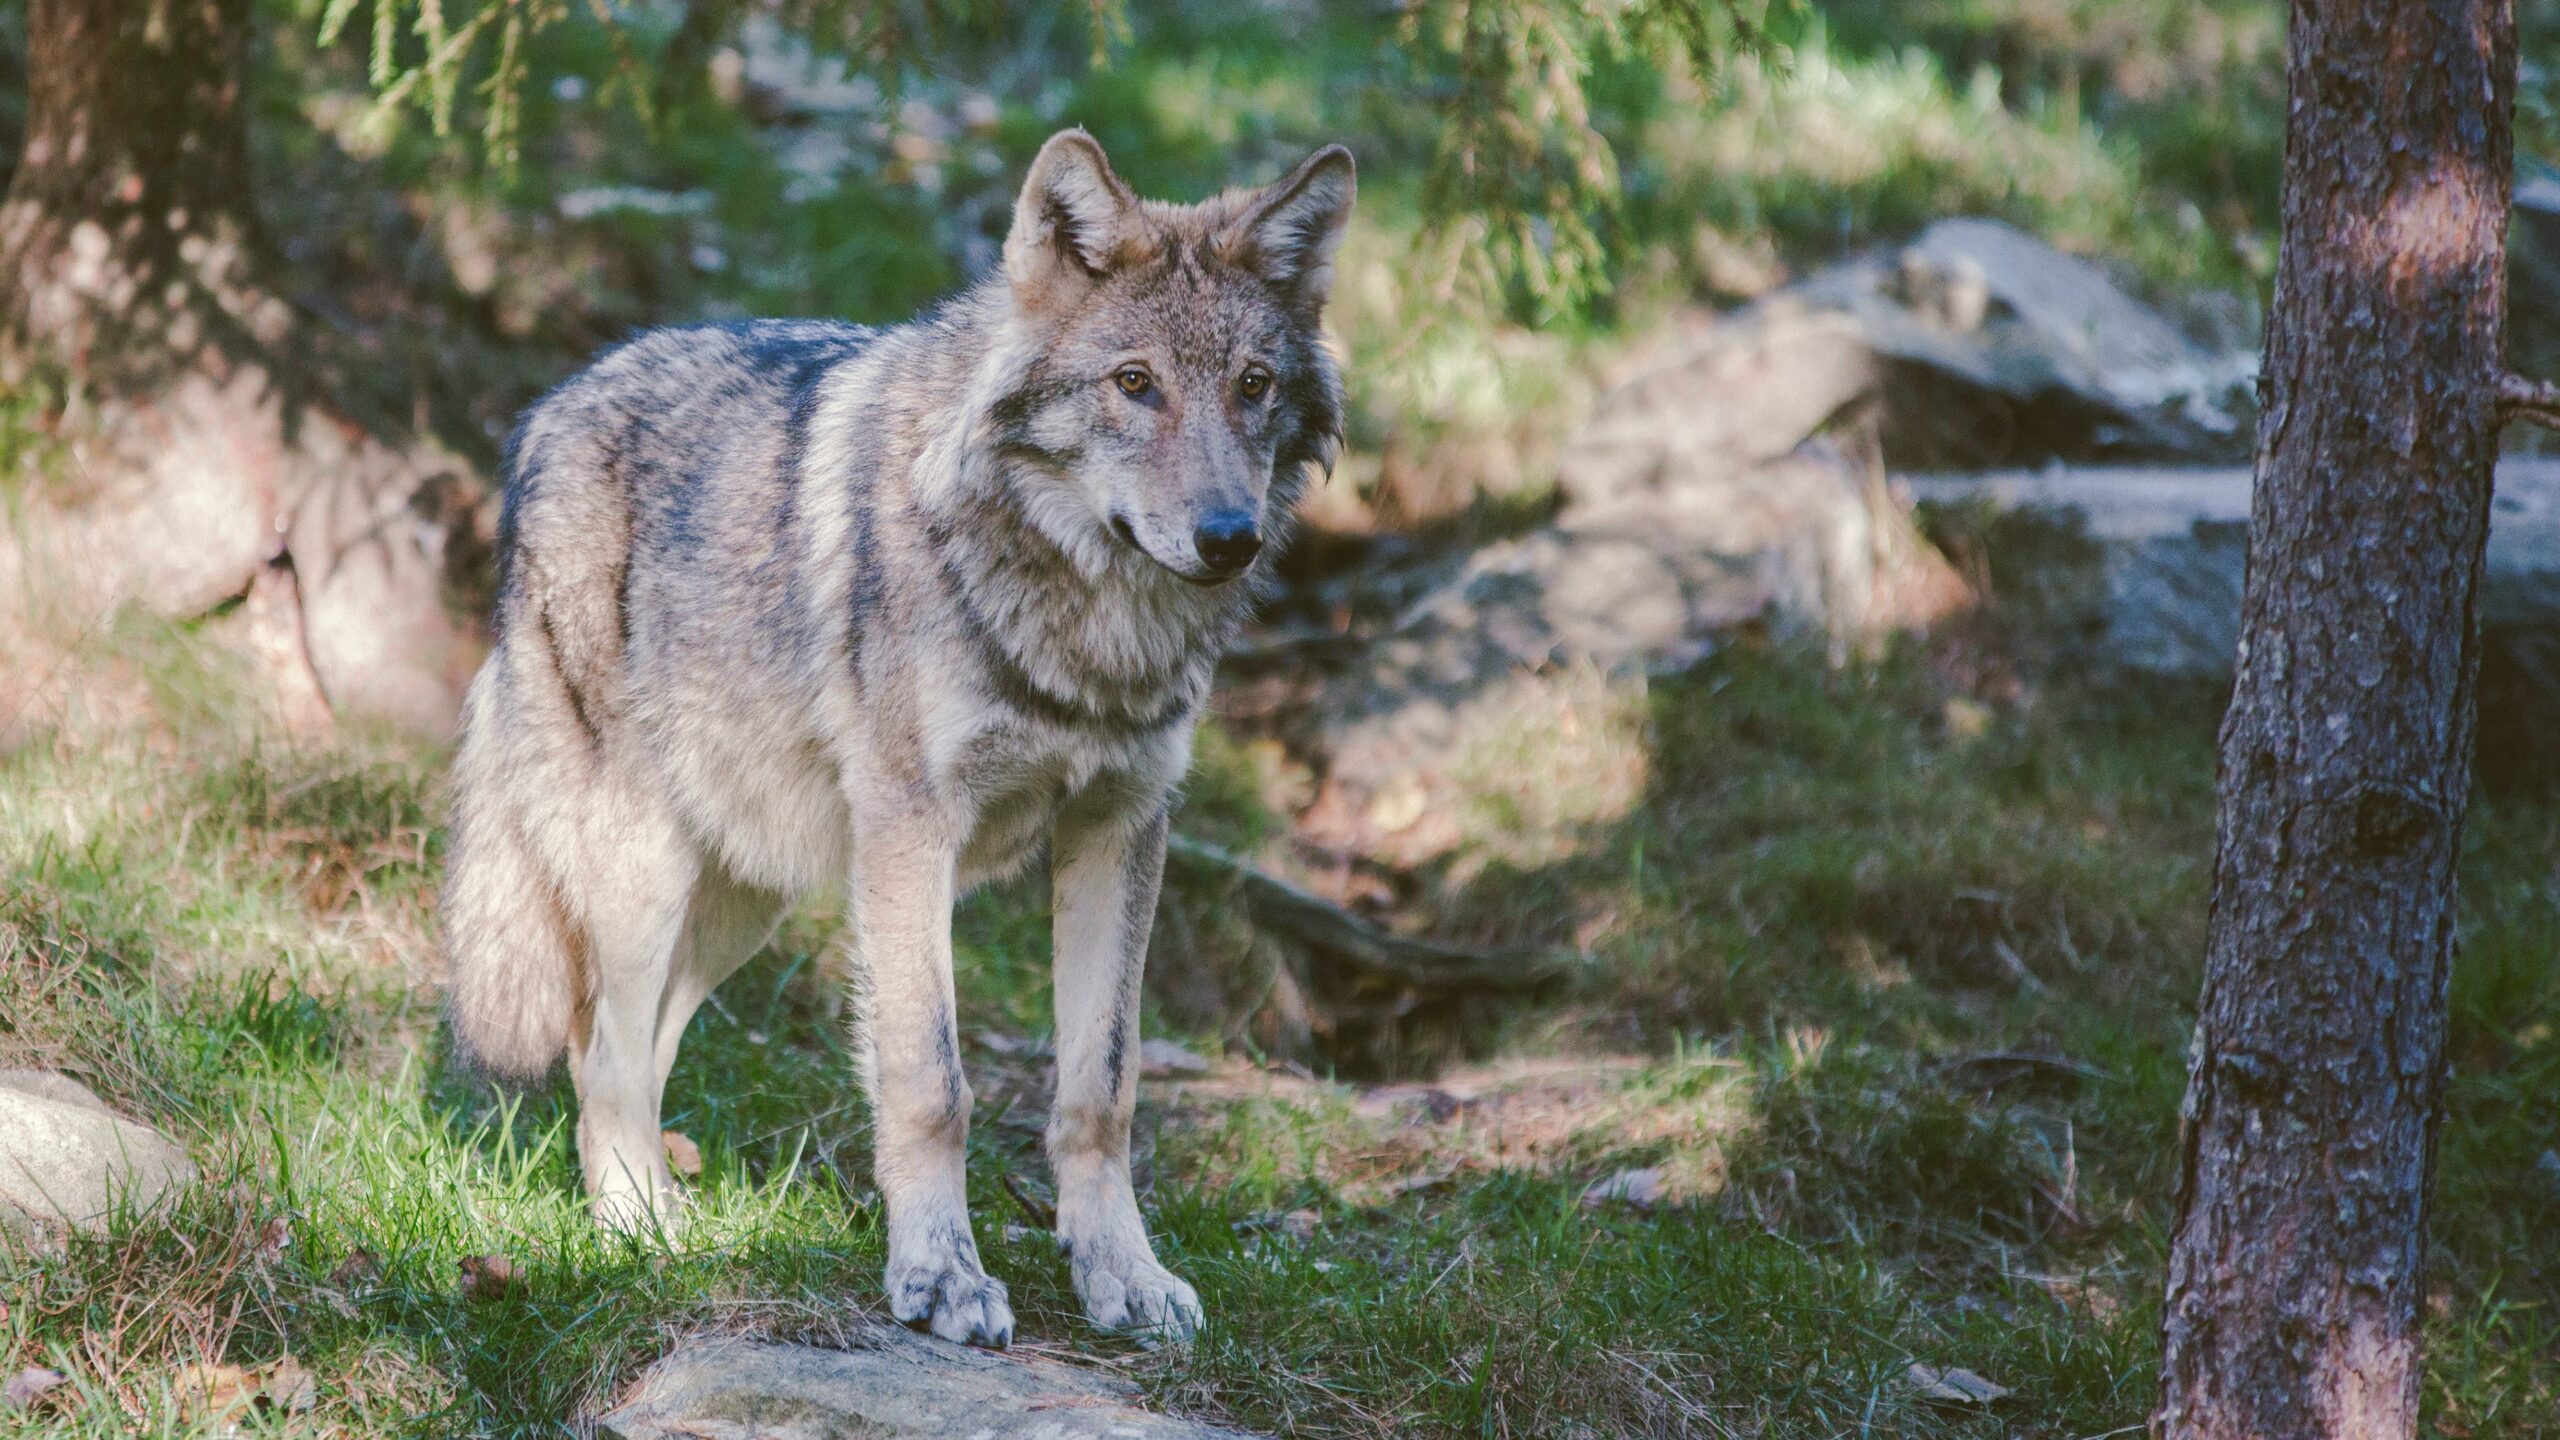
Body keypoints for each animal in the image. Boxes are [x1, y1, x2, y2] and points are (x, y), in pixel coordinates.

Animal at [440, 126, 1361, 1342]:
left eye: (1252, 386)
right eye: (1134, 384)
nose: (1229, 538)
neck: (1085, 629)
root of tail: (548, 410)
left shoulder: (1121, 827)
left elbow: (1102, 1089)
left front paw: (1121, 1274)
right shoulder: (915, 834)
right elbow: (932, 1082)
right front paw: (940, 1278)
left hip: (746, 895)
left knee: (642, 1048)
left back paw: (674, 1222)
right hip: (643, 874)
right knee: (600, 1056)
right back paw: (643, 1237)